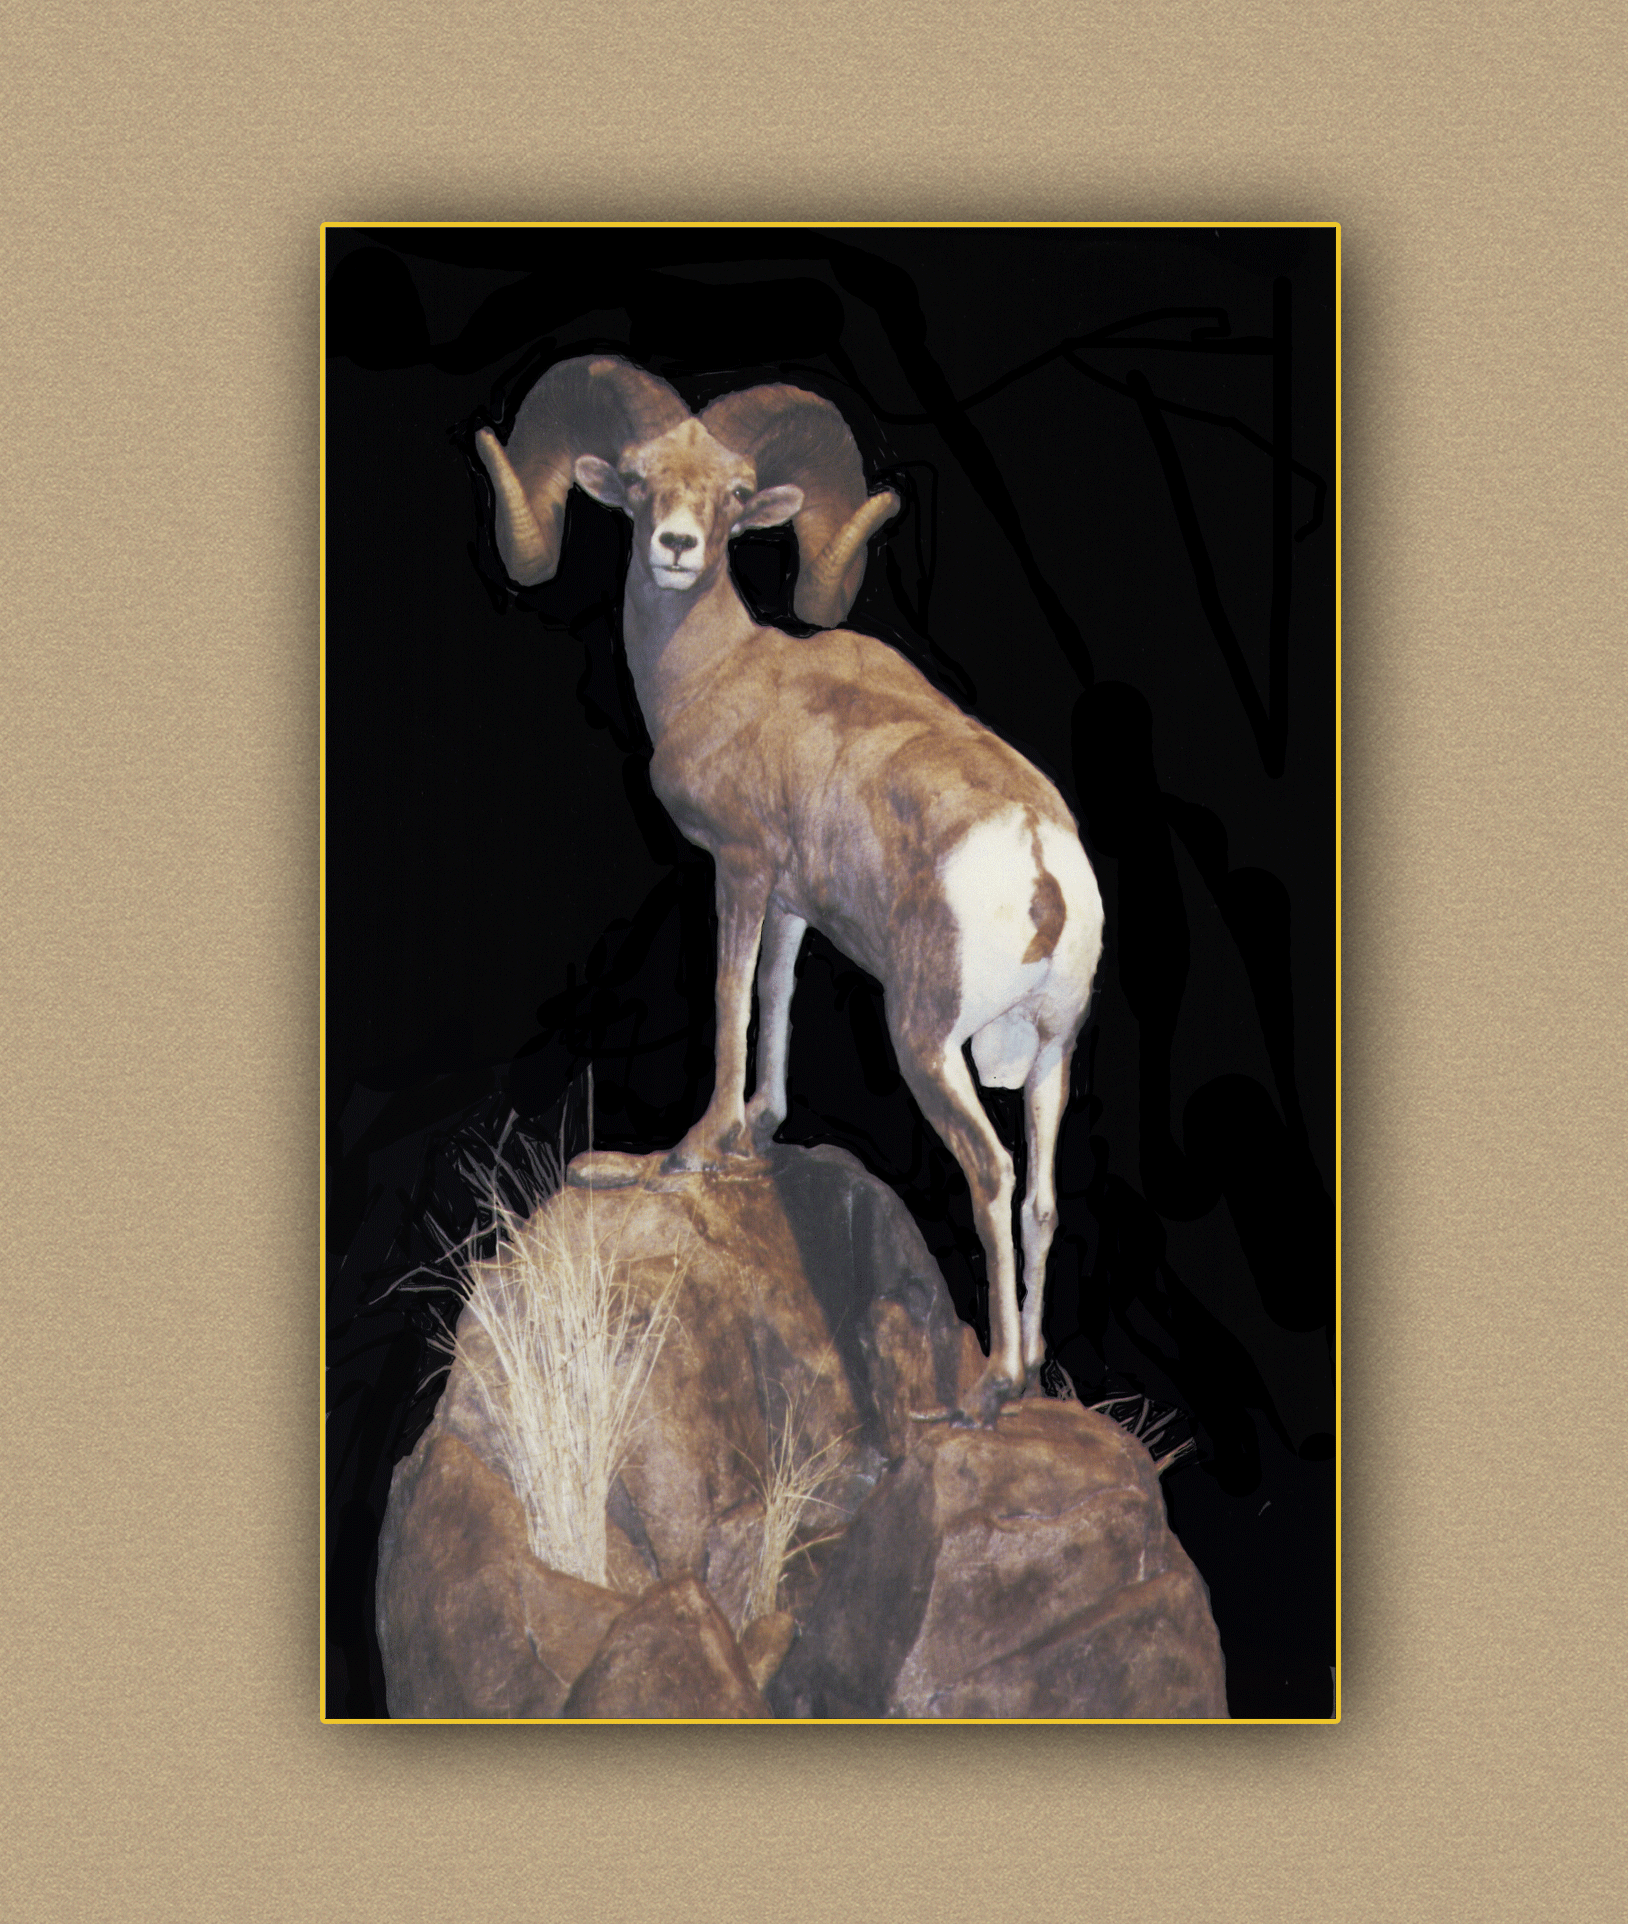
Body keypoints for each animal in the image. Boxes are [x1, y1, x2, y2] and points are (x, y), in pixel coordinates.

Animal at [475, 355, 1104, 1423]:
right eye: (638, 479)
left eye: (733, 496)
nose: (677, 548)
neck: (720, 673)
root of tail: (1037, 861)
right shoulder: (793, 901)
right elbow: (776, 992)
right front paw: (759, 1133)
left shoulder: (739, 867)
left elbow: (731, 997)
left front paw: (689, 1152)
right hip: (1053, 1056)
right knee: (1043, 1196)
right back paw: (1030, 1369)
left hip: (928, 1048)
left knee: (990, 1174)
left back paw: (992, 1386)